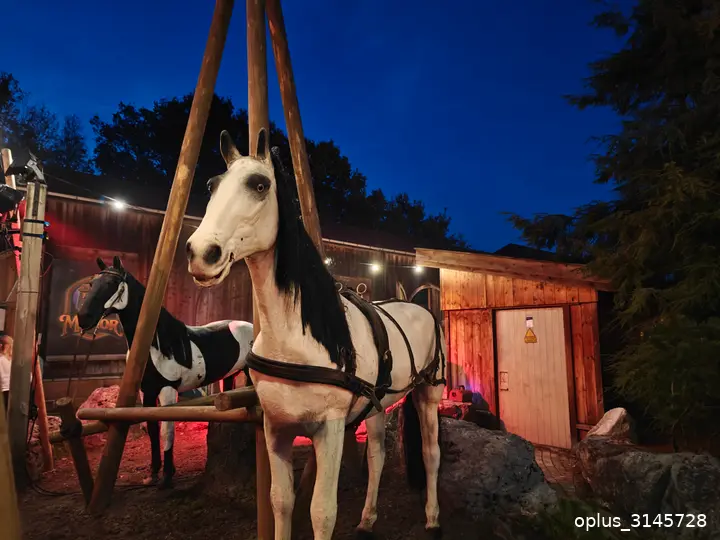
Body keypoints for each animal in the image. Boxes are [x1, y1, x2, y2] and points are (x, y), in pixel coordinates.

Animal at [76, 255, 254, 488]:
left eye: (111, 283)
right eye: (91, 284)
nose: (83, 317)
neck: (158, 345)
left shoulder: (167, 390)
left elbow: (166, 430)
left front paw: (168, 475)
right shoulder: (147, 391)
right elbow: (152, 428)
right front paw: (153, 472)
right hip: (230, 375)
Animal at [185, 129, 446, 540]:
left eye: (259, 184)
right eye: (212, 185)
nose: (201, 253)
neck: (295, 338)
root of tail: (420, 307)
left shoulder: (331, 429)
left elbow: (322, 512)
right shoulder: (275, 427)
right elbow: (281, 501)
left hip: (428, 395)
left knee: (432, 454)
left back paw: (433, 517)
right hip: (377, 406)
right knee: (377, 455)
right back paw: (367, 519)